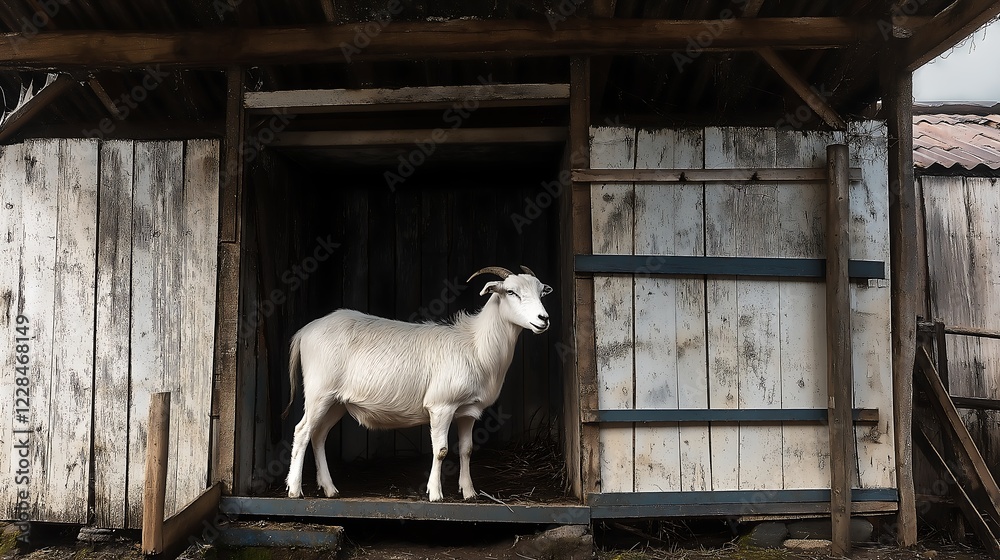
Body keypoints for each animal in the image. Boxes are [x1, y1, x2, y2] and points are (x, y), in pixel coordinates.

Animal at [283, 265, 552, 502]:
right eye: (511, 292)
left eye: (541, 293)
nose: (544, 319)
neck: (476, 345)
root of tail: (304, 332)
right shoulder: (441, 405)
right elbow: (441, 450)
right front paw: (435, 494)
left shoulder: (468, 412)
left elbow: (466, 450)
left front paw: (469, 492)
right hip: (319, 392)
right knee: (302, 431)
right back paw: (295, 489)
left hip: (336, 401)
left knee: (318, 436)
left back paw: (329, 489)